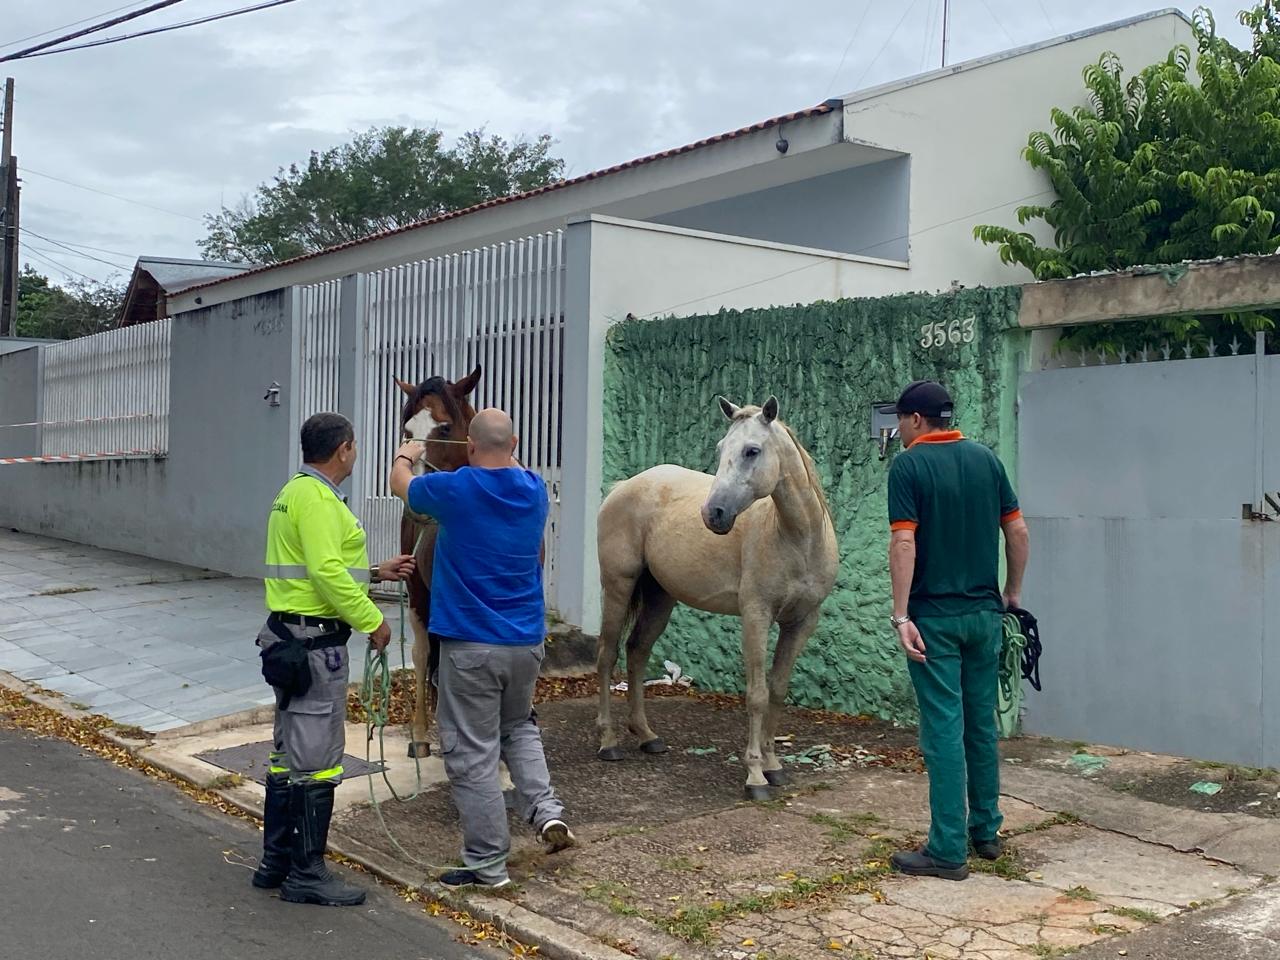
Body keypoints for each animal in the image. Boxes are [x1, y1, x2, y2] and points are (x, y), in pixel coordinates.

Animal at [594, 395, 838, 800]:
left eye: (752, 450)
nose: (713, 514)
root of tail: (624, 486)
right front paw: (755, 776)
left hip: (660, 598)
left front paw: (774, 765)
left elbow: (777, 690)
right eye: (721, 449)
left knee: (638, 651)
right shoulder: (756, 617)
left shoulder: (802, 623)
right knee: (607, 655)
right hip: (617, 587)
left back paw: (647, 736)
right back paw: (608, 741)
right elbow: (756, 695)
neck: (796, 538)